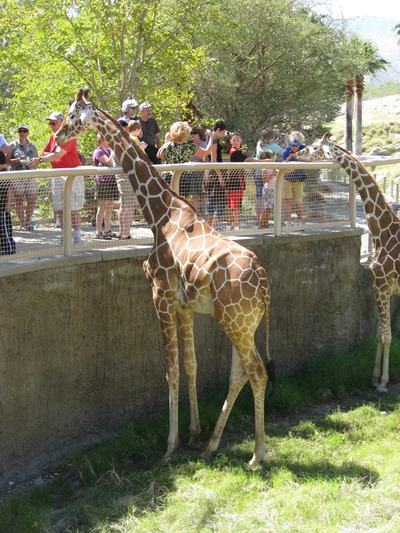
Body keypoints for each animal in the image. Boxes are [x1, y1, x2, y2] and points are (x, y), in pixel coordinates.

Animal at [55, 88, 276, 466]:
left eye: (72, 114)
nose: (57, 137)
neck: (160, 213)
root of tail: (264, 287)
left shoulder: (160, 295)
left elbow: (170, 369)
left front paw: (170, 446)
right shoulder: (185, 306)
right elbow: (191, 366)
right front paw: (193, 435)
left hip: (233, 320)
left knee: (256, 372)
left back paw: (256, 455)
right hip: (243, 322)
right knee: (240, 374)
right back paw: (212, 446)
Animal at [296, 132, 400, 390]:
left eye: (314, 147)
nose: (297, 153)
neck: (383, 231)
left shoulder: (382, 286)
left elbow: (386, 335)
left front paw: (383, 382)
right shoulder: (381, 288)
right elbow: (380, 333)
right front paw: (374, 377)